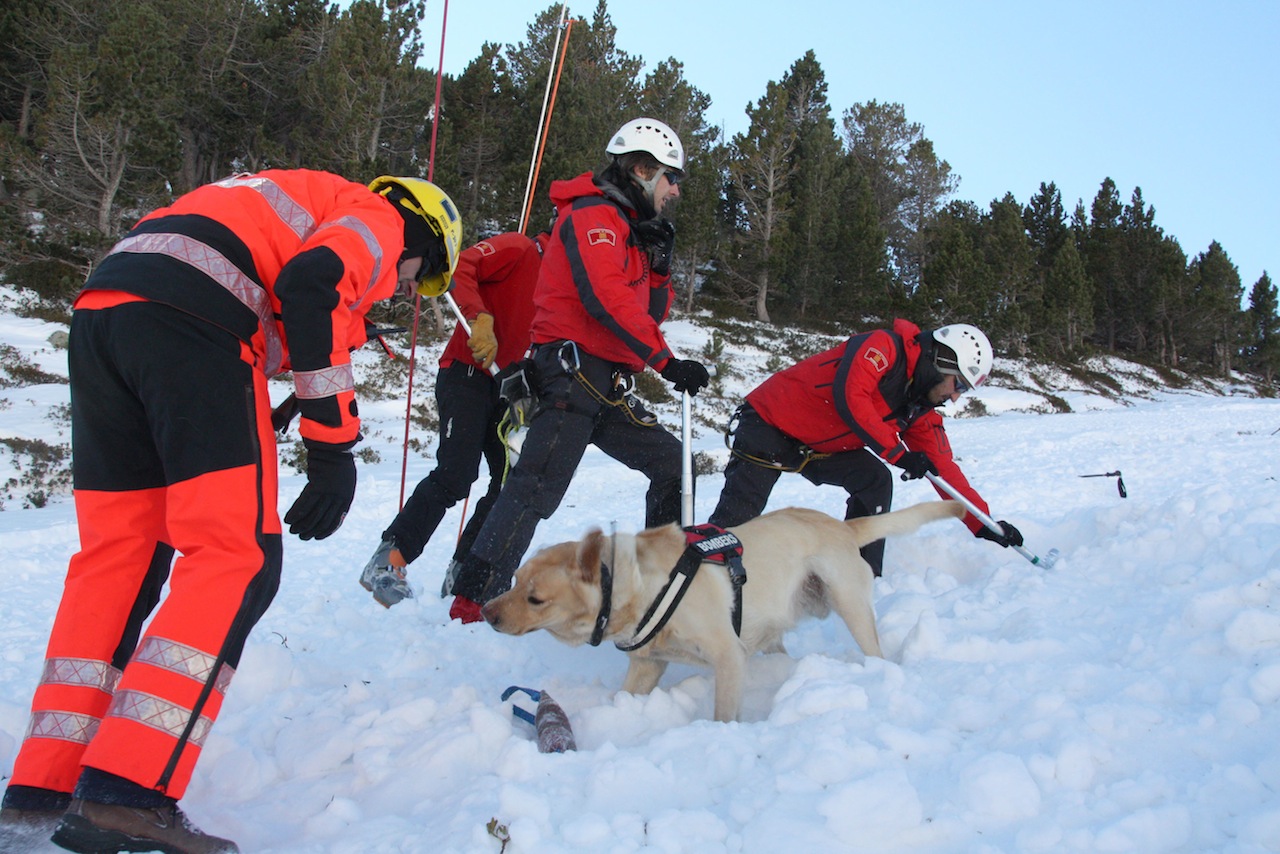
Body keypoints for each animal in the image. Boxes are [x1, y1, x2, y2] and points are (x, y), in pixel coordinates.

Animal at [483, 504, 962, 727]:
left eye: (536, 599)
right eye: (515, 579)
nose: (486, 613)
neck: (638, 587)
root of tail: (842, 526)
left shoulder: (729, 656)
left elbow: (723, 714)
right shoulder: (646, 666)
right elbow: (628, 693)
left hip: (851, 608)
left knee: (874, 650)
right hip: (771, 633)